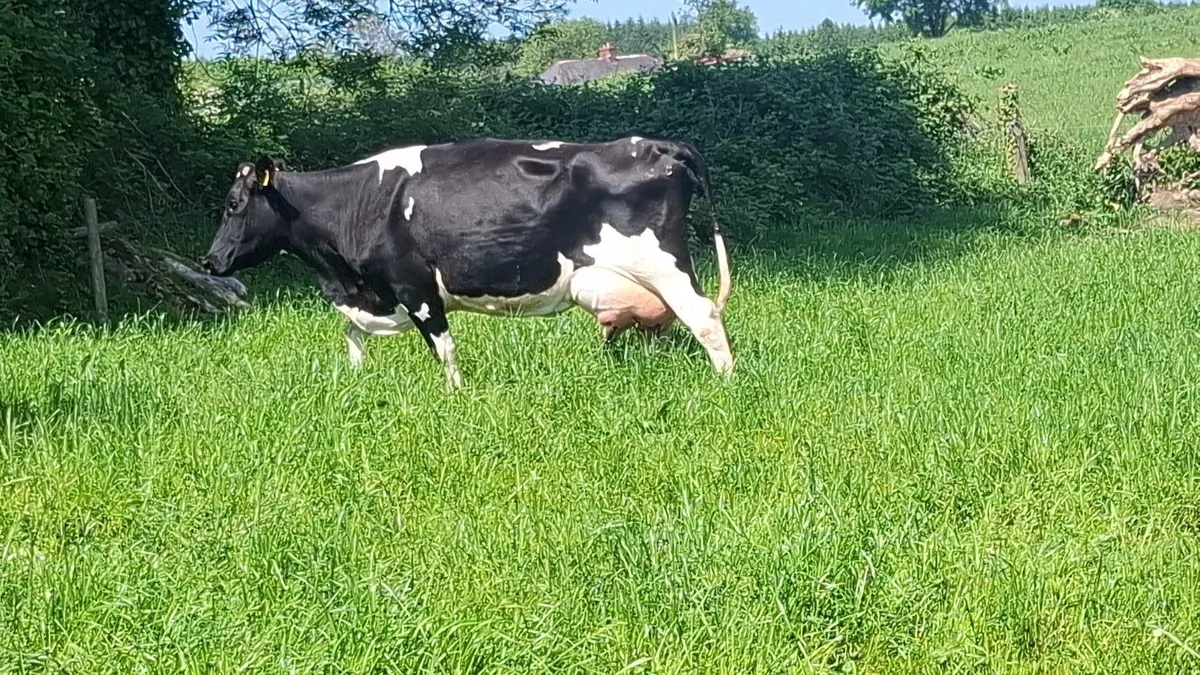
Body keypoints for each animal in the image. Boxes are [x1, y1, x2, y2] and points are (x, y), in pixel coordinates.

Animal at [200, 136, 734, 389]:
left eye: (232, 204)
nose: (209, 261)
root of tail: (660, 144)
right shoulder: (375, 295)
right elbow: (352, 334)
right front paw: (355, 377)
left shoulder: (414, 286)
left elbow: (445, 348)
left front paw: (455, 395)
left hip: (664, 264)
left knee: (704, 316)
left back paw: (726, 382)